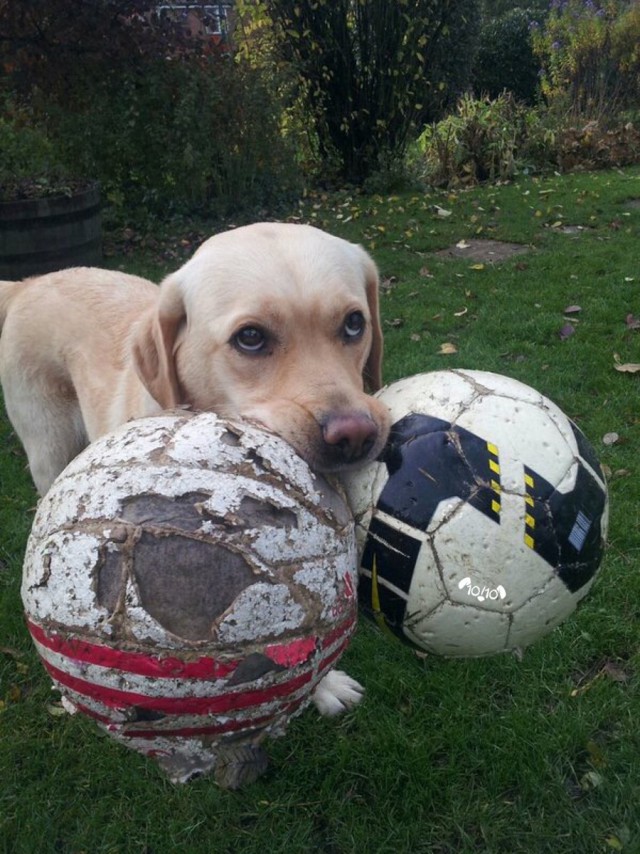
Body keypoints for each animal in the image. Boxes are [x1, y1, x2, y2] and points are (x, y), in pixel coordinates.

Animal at [0, 224, 390, 720]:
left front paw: (324, 685)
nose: (355, 435)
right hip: (48, 449)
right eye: (250, 337)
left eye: (354, 324)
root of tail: (29, 282)